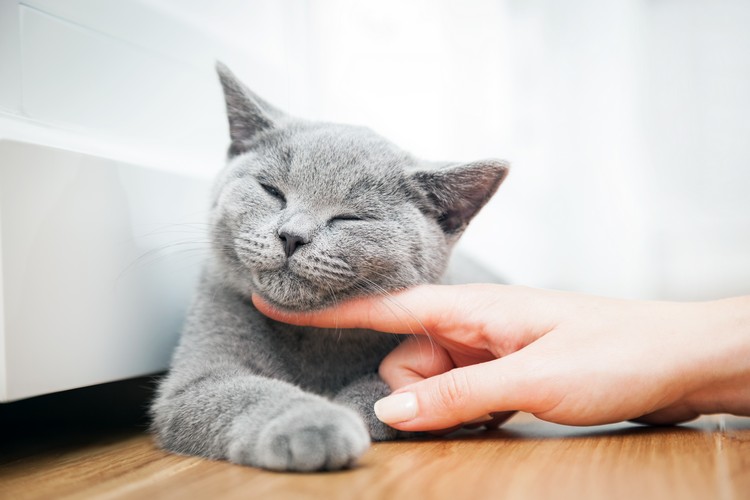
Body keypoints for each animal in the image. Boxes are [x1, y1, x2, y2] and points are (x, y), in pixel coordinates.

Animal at [150, 63, 508, 472]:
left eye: (349, 218)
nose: (291, 236)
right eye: (271, 190)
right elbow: (244, 391)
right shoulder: (196, 376)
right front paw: (313, 422)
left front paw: (367, 404)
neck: (312, 341)